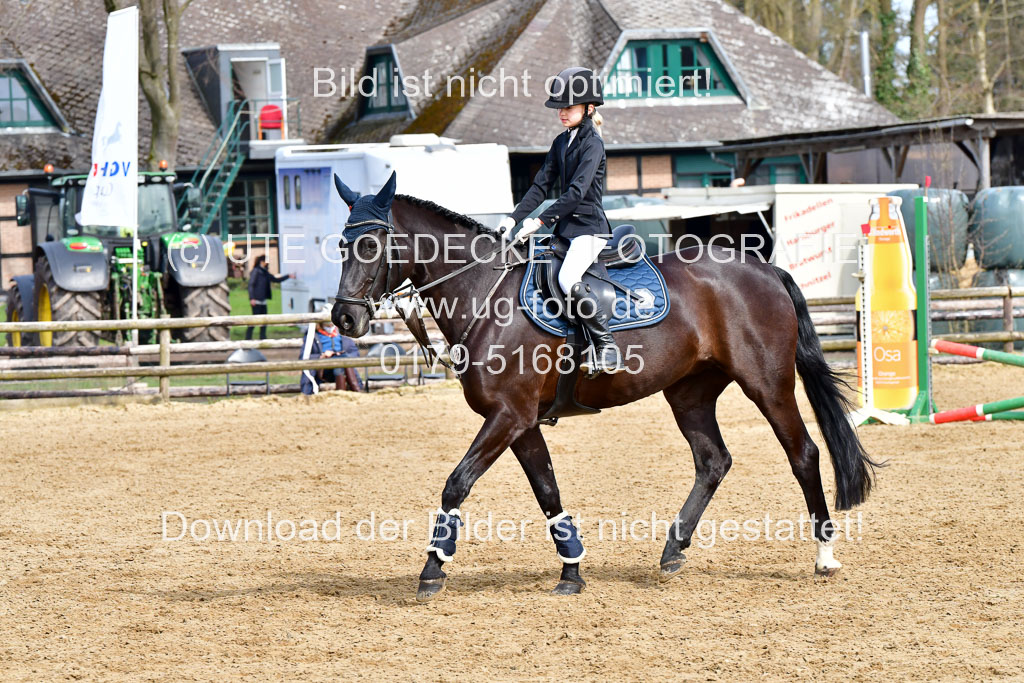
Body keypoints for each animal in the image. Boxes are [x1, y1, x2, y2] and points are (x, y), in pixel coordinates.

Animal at [331, 172, 876, 602]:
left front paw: (432, 569)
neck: (485, 294)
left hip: (767, 384)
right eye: (341, 244)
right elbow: (548, 491)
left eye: (372, 245)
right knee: (713, 461)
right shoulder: (520, 422)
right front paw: (571, 570)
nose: (344, 318)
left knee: (803, 453)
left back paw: (825, 555)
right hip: (689, 393)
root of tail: (764, 267)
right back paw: (673, 549)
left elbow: (457, 482)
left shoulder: (508, 416)